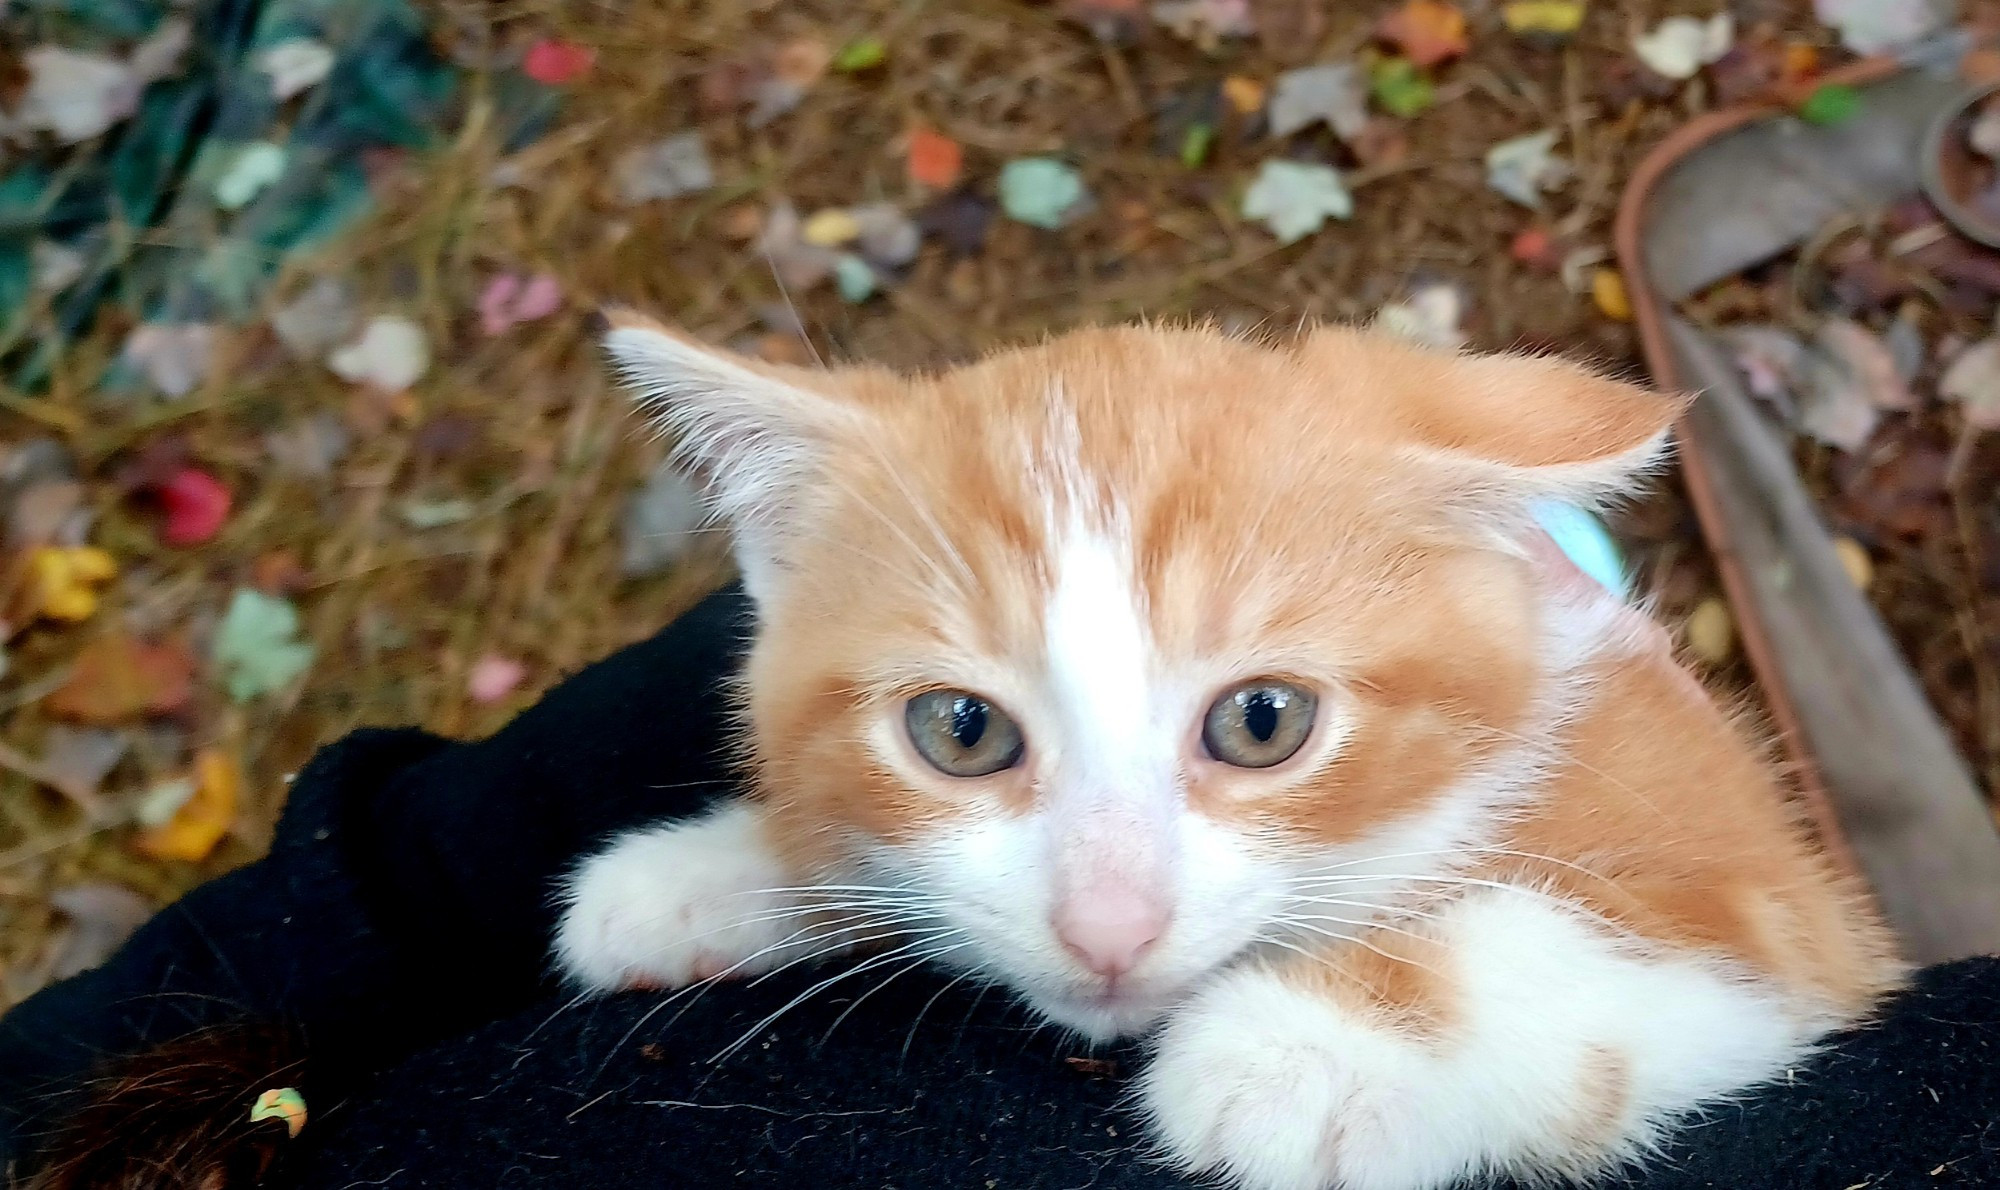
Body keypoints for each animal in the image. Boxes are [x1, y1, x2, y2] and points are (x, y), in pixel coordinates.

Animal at [556, 316, 1896, 1190]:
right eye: (960, 728)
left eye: (1261, 721)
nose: (1106, 926)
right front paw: (699, 875)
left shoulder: (1777, 895)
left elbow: (1590, 929)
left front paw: (1301, 1049)